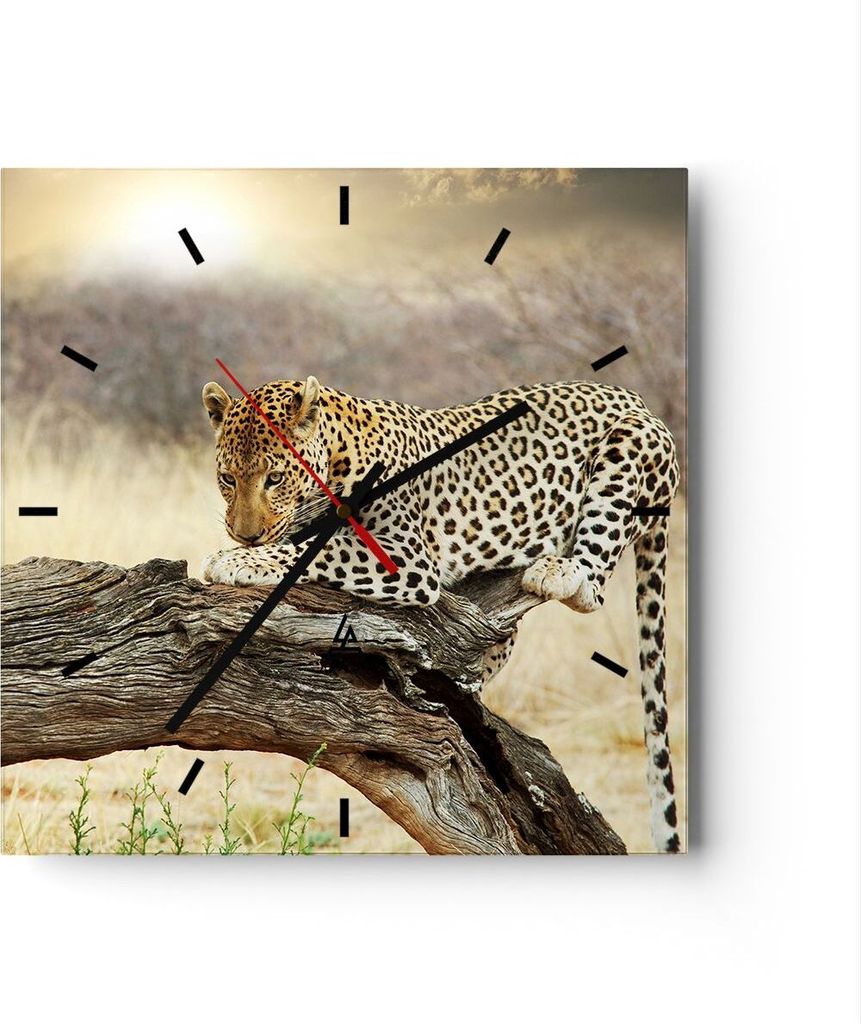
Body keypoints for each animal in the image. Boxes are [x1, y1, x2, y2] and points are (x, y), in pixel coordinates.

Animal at [201, 375, 681, 853]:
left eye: (275, 478)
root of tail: (635, 398)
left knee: (591, 586)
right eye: (227, 479)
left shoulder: (405, 558)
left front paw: (236, 561)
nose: (245, 536)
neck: (335, 461)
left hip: (626, 451)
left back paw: (557, 572)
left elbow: (316, 551)